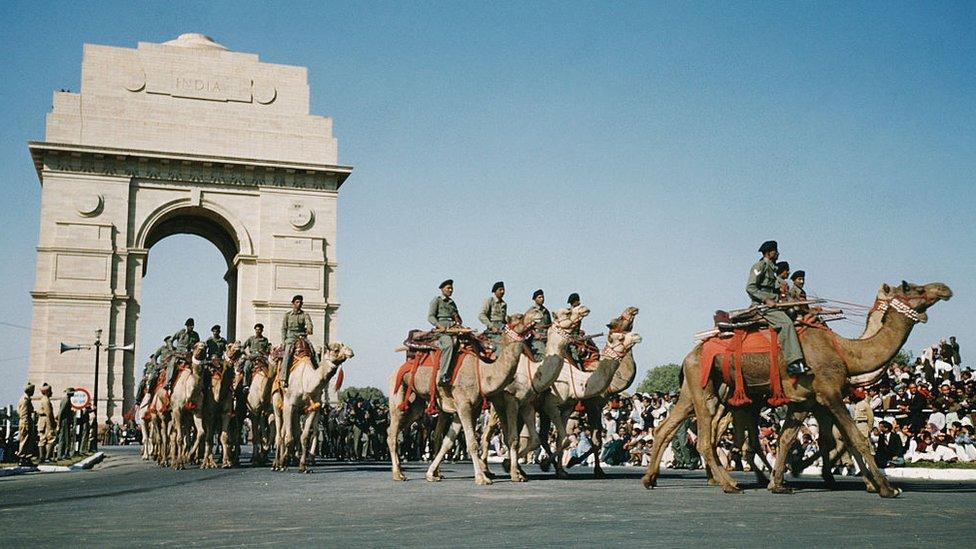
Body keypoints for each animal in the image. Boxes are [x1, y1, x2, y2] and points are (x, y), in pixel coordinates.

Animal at [270, 338, 354, 470]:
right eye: (336, 350)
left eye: (343, 345)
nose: (351, 352)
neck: (306, 381)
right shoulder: (289, 405)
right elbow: (289, 437)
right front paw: (284, 462)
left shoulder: (312, 408)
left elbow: (304, 437)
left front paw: (303, 466)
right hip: (277, 402)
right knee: (279, 433)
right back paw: (277, 464)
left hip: (297, 412)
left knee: (290, 432)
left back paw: (290, 459)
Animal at [386, 310, 540, 486]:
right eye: (519, 317)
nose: (536, 312)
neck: (483, 372)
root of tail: (395, 370)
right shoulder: (464, 405)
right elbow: (471, 442)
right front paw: (482, 478)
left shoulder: (467, 408)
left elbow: (448, 441)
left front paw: (431, 474)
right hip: (397, 390)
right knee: (392, 432)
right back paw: (398, 474)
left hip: (416, 402)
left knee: (402, 425)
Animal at [478, 304, 592, 480]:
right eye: (567, 312)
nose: (583, 308)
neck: (532, 371)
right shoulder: (513, 400)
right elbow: (514, 438)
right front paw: (513, 471)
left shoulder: (529, 404)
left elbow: (535, 439)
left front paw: (514, 467)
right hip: (496, 407)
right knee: (488, 433)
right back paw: (486, 469)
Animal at [532, 328, 640, 478]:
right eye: (621, 337)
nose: (637, 336)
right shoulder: (592, 406)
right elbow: (594, 441)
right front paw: (579, 464)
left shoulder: (595, 408)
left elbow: (596, 441)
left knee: (543, 436)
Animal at [640, 282, 952, 496]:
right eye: (912, 287)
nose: (944, 288)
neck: (847, 353)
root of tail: (689, 356)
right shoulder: (829, 394)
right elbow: (855, 439)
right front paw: (886, 488)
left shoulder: (805, 400)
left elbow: (791, 439)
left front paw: (781, 482)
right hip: (707, 388)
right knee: (709, 439)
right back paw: (728, 483)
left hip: (694, 390)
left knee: (669, 427)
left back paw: (651, 478)